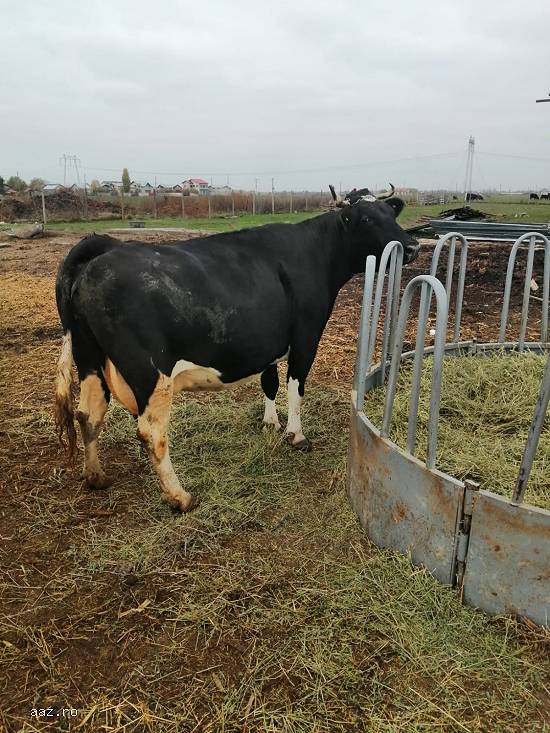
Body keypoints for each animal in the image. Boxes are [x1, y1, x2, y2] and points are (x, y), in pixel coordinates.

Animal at [55, 184, 419, 512]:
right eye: (366, 219)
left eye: (390, 213)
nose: (413, 246)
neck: (316, 252)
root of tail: (103, 248)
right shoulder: (306, 336)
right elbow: (296, 386)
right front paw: (296, 435)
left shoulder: (268, 340)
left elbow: (270, 382)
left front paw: (270, 423)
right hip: (149, 371)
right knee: (150, 432)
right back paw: (180, 497)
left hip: (88, 357)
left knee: (88, 414)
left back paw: (96, 476)